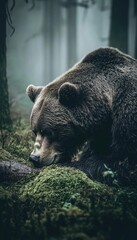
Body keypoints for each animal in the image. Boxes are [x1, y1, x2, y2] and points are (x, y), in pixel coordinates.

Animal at [26, 47, 137, 185]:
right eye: (34, 131)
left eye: (49, 132)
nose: (34, 158)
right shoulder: (103, 129)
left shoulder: (128, 112)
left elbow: (121, 158)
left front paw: (71, 165)